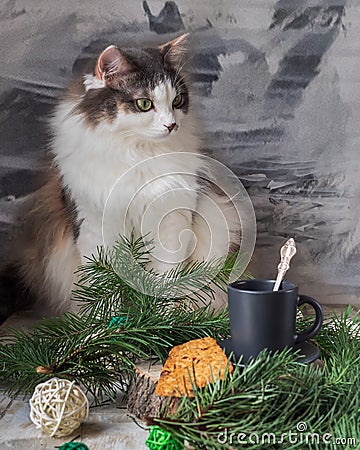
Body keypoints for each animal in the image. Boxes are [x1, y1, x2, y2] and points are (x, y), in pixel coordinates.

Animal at [0, 34, 242, 324]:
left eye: (178, 101)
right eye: (144, 103)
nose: (171, 125)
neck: (137, 154)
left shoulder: (171, 223)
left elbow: (164, 281)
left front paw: (160, 323)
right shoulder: (95, 227)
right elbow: (105, 288)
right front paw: (108, 329)